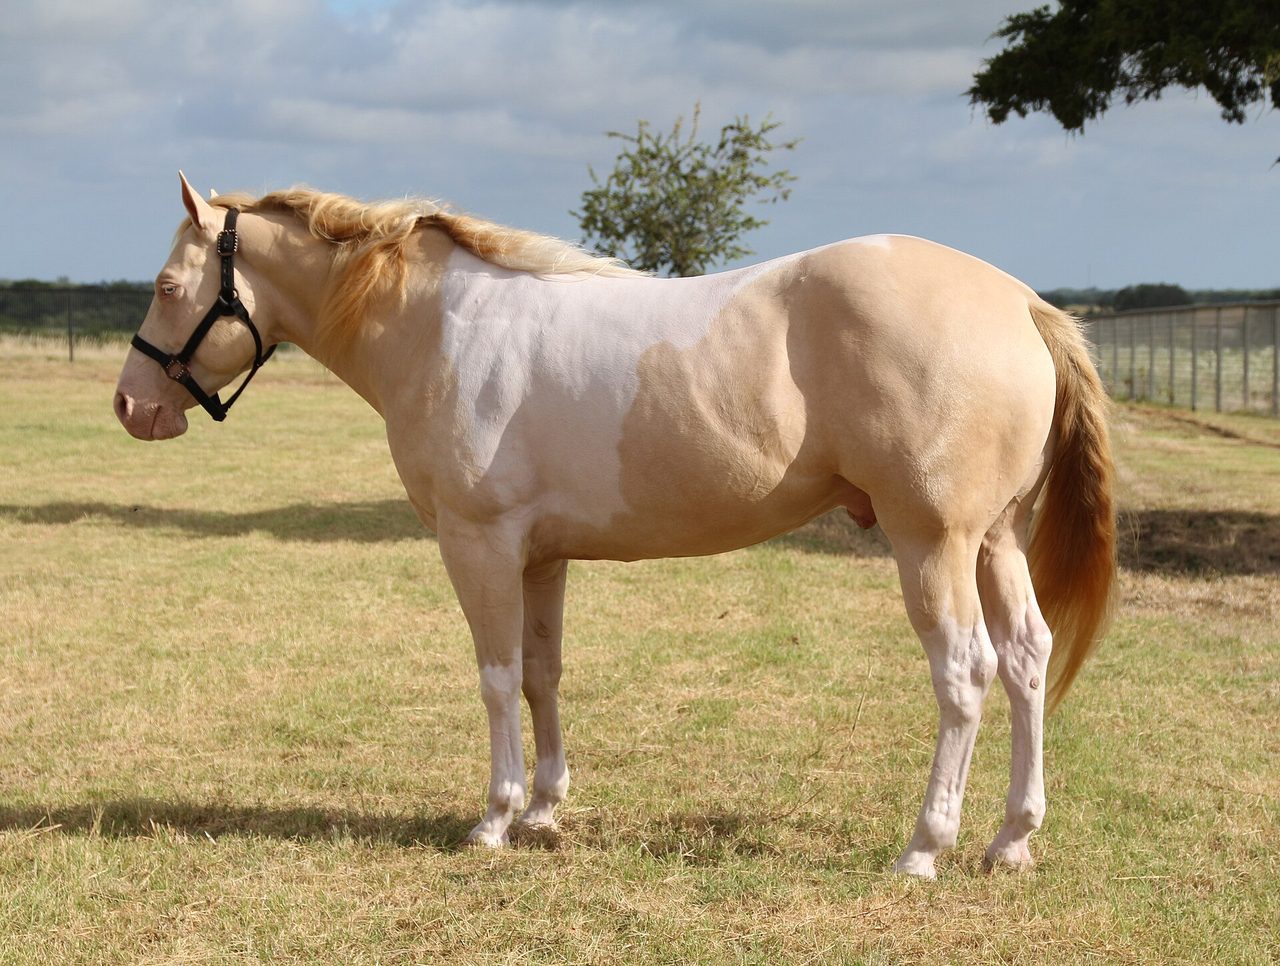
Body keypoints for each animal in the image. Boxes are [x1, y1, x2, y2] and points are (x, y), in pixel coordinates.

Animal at [113, 173, 1115, 878]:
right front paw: (545, 810)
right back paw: (1010, 841)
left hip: (932, 544)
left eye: (166, 285)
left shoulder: (478, 544)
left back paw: (924, 847)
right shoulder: (540, 557)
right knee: (1025, 659)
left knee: (965, 673)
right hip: (994, 542)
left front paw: (493, 818)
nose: (131, 406)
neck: (442, 327)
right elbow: (541, 676)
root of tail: (1018, 302)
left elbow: (495, 678)